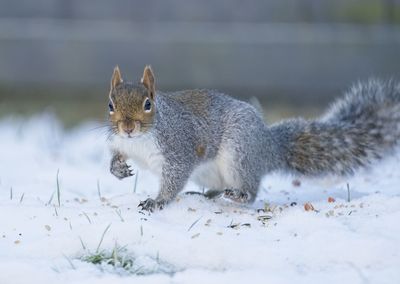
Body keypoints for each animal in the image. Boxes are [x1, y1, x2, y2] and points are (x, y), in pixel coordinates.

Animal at [107, 65, 400, 212]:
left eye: (148, 104)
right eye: (111, 105)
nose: (127, 127)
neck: (138, 140)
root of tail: (269, 145)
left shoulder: (179, 147)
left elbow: (174, 178)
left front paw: (157, 201)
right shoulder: (119, 141)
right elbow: (116, 155)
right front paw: (117, 169)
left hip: (239, 154)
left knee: (251, 190)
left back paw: (238, 195)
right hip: (210, 171)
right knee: (217, 186)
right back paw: (207, 195)